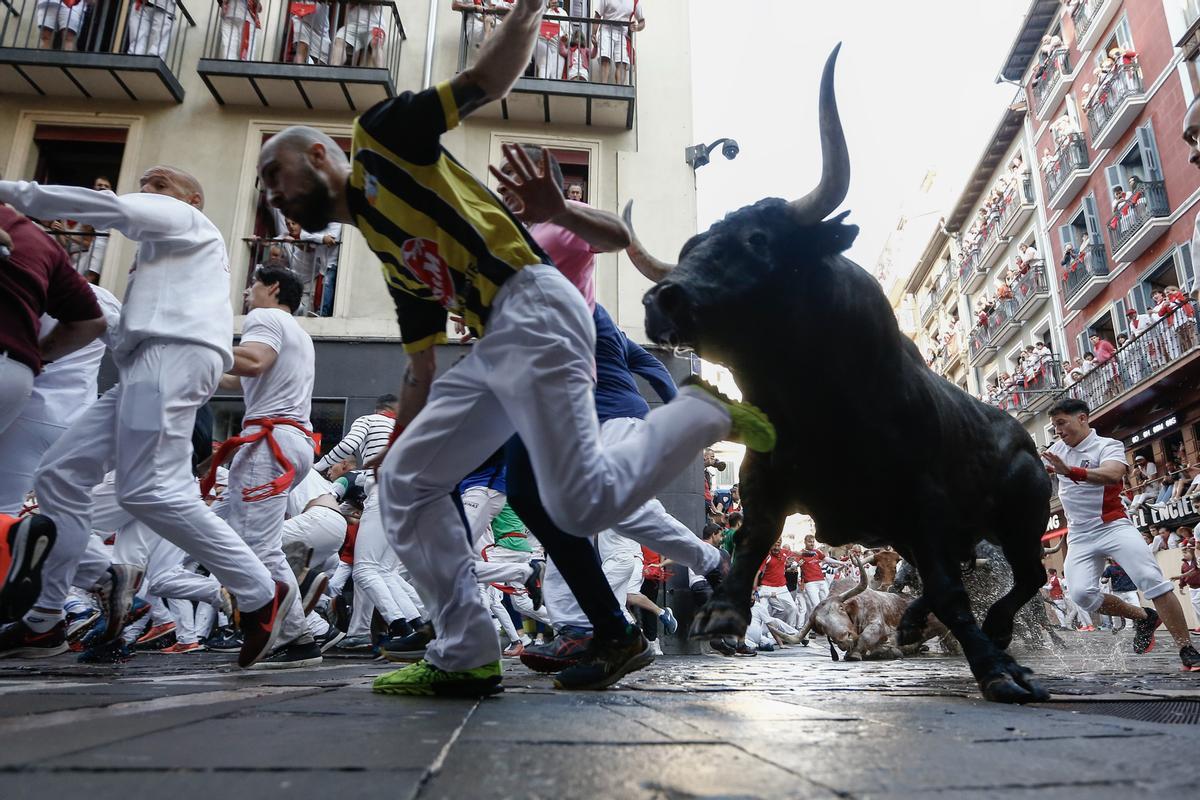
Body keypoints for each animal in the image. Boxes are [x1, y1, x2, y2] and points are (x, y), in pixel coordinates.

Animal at [624, 47, 1056, 705]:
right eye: (691, 249)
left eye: (758, 239)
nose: (661, 300)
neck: (813, 402)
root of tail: (1023, 437)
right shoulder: (767, 482)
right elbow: (753, 544)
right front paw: (722, 613)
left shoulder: (923, 499)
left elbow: (952, 590)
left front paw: (997, 669)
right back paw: (914, 622)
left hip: (1023, 518)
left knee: (1025, 576)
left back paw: (995, 633)